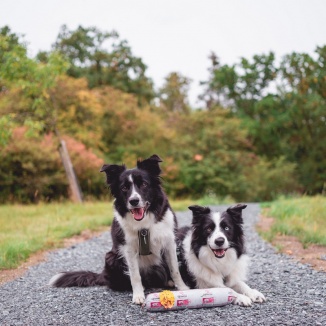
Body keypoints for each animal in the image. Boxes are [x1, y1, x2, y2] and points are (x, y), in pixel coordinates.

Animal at [50, 154, 190, 304]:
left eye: (144, 184)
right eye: (124, 188)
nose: (134, 201)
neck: (143, 225)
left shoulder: (169, 242)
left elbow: (175, 269)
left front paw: (183, 287)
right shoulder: (128, 248)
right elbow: (135, 275)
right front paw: (138, 295)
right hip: (112, 257)